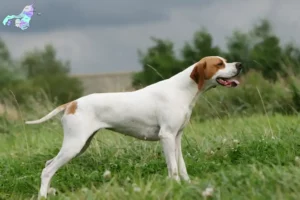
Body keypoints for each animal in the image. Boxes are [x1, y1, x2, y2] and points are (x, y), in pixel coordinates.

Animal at [25, 55, 241, 198]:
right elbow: (172, 168)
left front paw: (187, 185)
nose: (239, 64)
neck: (182, 90)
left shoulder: (177, 137)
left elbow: (181, 166)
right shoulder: (167, 137)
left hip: (80, 145)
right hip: (74, 145)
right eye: (219, 63)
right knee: (47, 170)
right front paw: (175, 186)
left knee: (48, 164)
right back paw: (43, 196)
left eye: (225, 60)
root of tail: (71, 103)